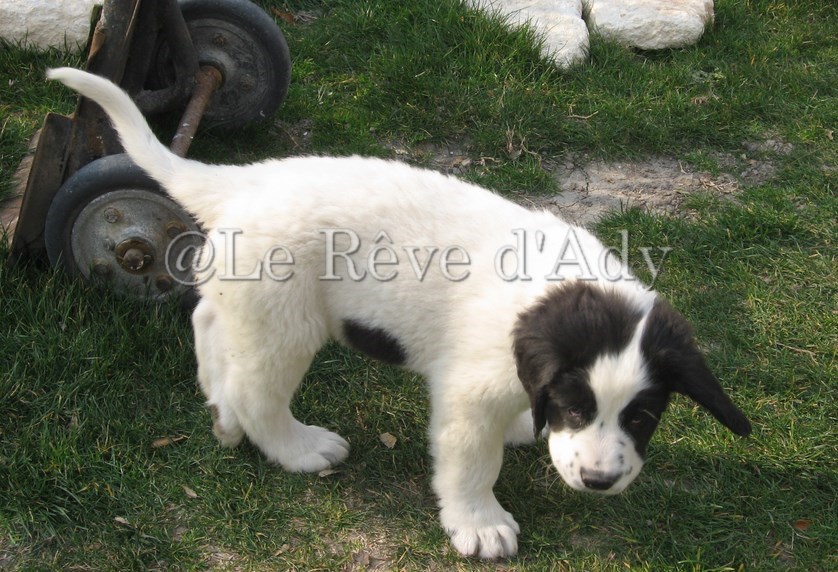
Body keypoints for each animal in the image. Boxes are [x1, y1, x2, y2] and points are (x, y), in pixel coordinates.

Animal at [48, 68, 752, 560]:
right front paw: (480, 524)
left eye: (641, 417)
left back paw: (219, 415)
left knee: (208, 328)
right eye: (578, 407)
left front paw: (524, 428)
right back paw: (295, 446)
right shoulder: (467, 395)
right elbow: (471, 464)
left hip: (247, 299)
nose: (601, 481)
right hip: (286, 321)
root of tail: (243, 179)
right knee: (257, 394)